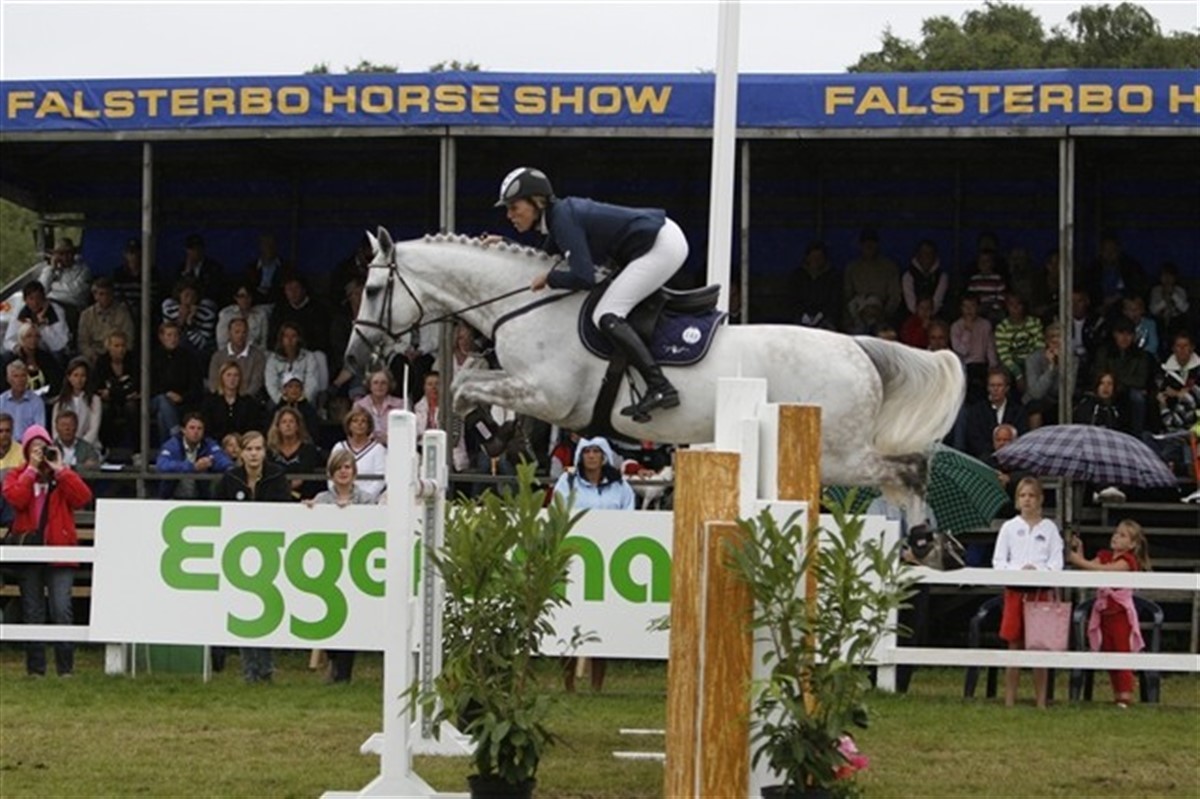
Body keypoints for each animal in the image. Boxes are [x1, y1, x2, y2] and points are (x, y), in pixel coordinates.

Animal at [346, 227, 965, 508]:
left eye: (373, 290)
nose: (353, 357)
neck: (529, 302)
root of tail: (859, 349)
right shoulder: (536, 392)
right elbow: (477, 380)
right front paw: (500, 439)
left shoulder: (549, 394)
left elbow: (468, 385)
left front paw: (483, 434)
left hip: (838, 454)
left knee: (906, 468)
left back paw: (928, 543)